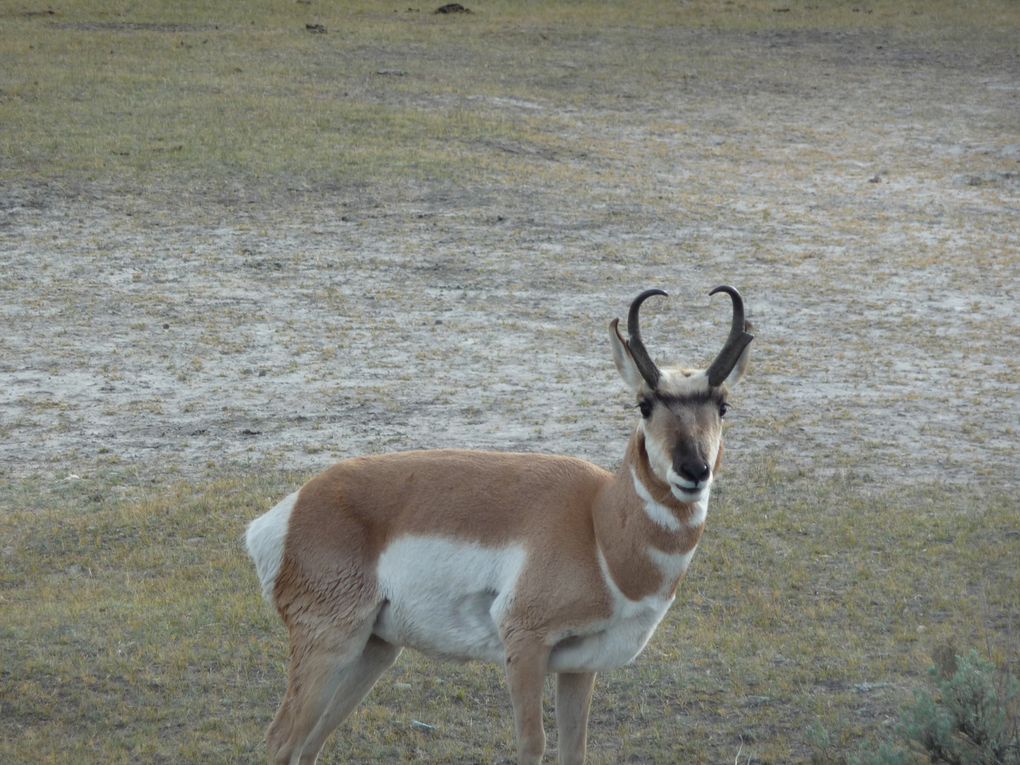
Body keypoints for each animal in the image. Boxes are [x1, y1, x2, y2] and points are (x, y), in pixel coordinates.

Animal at [245, 287, 754, 765]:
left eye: (723, 406)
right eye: (645, 404)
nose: (693, 470)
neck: (597, 525)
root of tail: (294, 506)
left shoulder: (578, 667)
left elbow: (575, 748)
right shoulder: (525, 646)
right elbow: (532, 744)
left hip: (373, 649)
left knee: (309, 744)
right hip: (331, 646)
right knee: (281, 740)